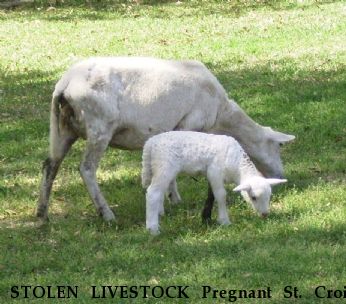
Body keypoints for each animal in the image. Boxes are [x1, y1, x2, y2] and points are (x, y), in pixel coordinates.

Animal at [35, 57, 294, 222]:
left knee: (50, 165)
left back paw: (42, 213)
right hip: (99, 126)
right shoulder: (189, 124)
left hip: (62, 128)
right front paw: (173, 199)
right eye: (279, 146)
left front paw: (171, 199)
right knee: (86, 169)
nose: (282, 177)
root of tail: (65, 85)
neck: (222, 115)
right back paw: (106, 213)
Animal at [142, 131, 288, 235]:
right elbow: (221, 195)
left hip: (157, 168)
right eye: (253, 197)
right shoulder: (215, 171)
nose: (265, 215)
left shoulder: (212, 175)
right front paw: (224, 221)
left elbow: (211, 195)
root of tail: (149, 144)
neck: (237, 164)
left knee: (157, 192)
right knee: (153, 193)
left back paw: (159, 214)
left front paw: (207, 217)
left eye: (269, 197)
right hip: (164, 166)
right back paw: (153, 229)